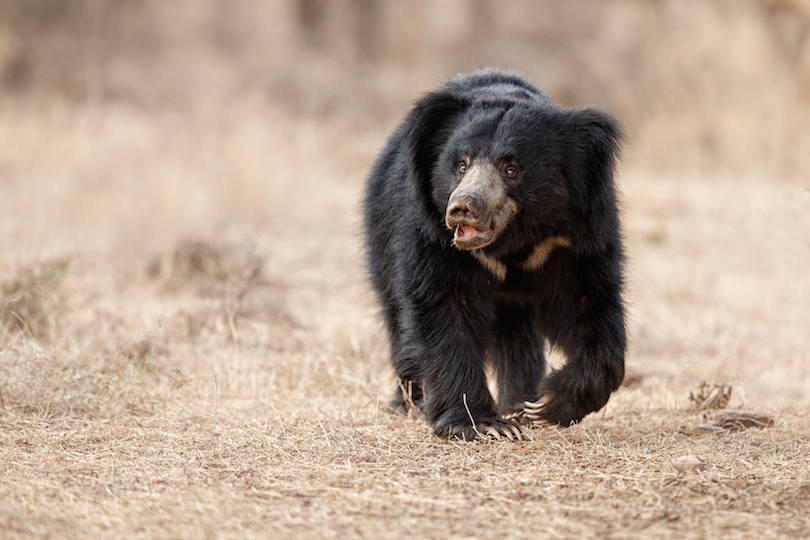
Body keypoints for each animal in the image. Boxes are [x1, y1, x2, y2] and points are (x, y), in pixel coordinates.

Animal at [364, 68, 624, 438]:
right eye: (461, 164)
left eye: (511, 168)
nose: (463, 209)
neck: (510, 242)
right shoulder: (432, 237)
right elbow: (444, 309)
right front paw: (484, 424)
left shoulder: (575, 236)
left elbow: (589, 303)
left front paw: (544, 405)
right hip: (381, 240)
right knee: (397, 319)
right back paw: (410, 402)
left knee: (518, 336)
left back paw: (519, 401)